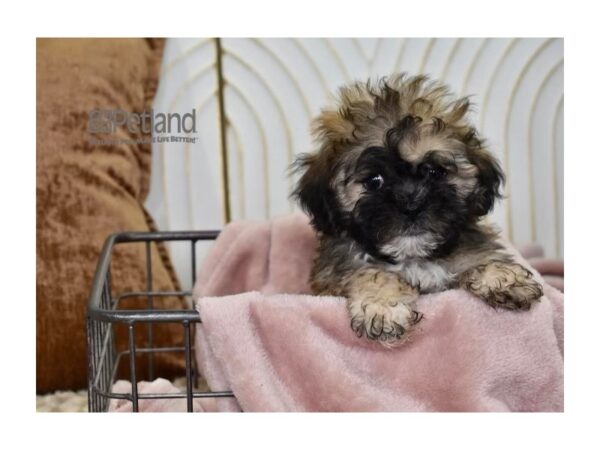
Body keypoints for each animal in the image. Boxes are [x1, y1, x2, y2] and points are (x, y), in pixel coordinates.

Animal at [290, 74, 544, 342]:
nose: (411, 206)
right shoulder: (334, 277)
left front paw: (502, 278)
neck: (414, 259)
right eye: (374, 181)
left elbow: (478, 259)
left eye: (435, 172)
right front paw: (383, 305)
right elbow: (370, 273)